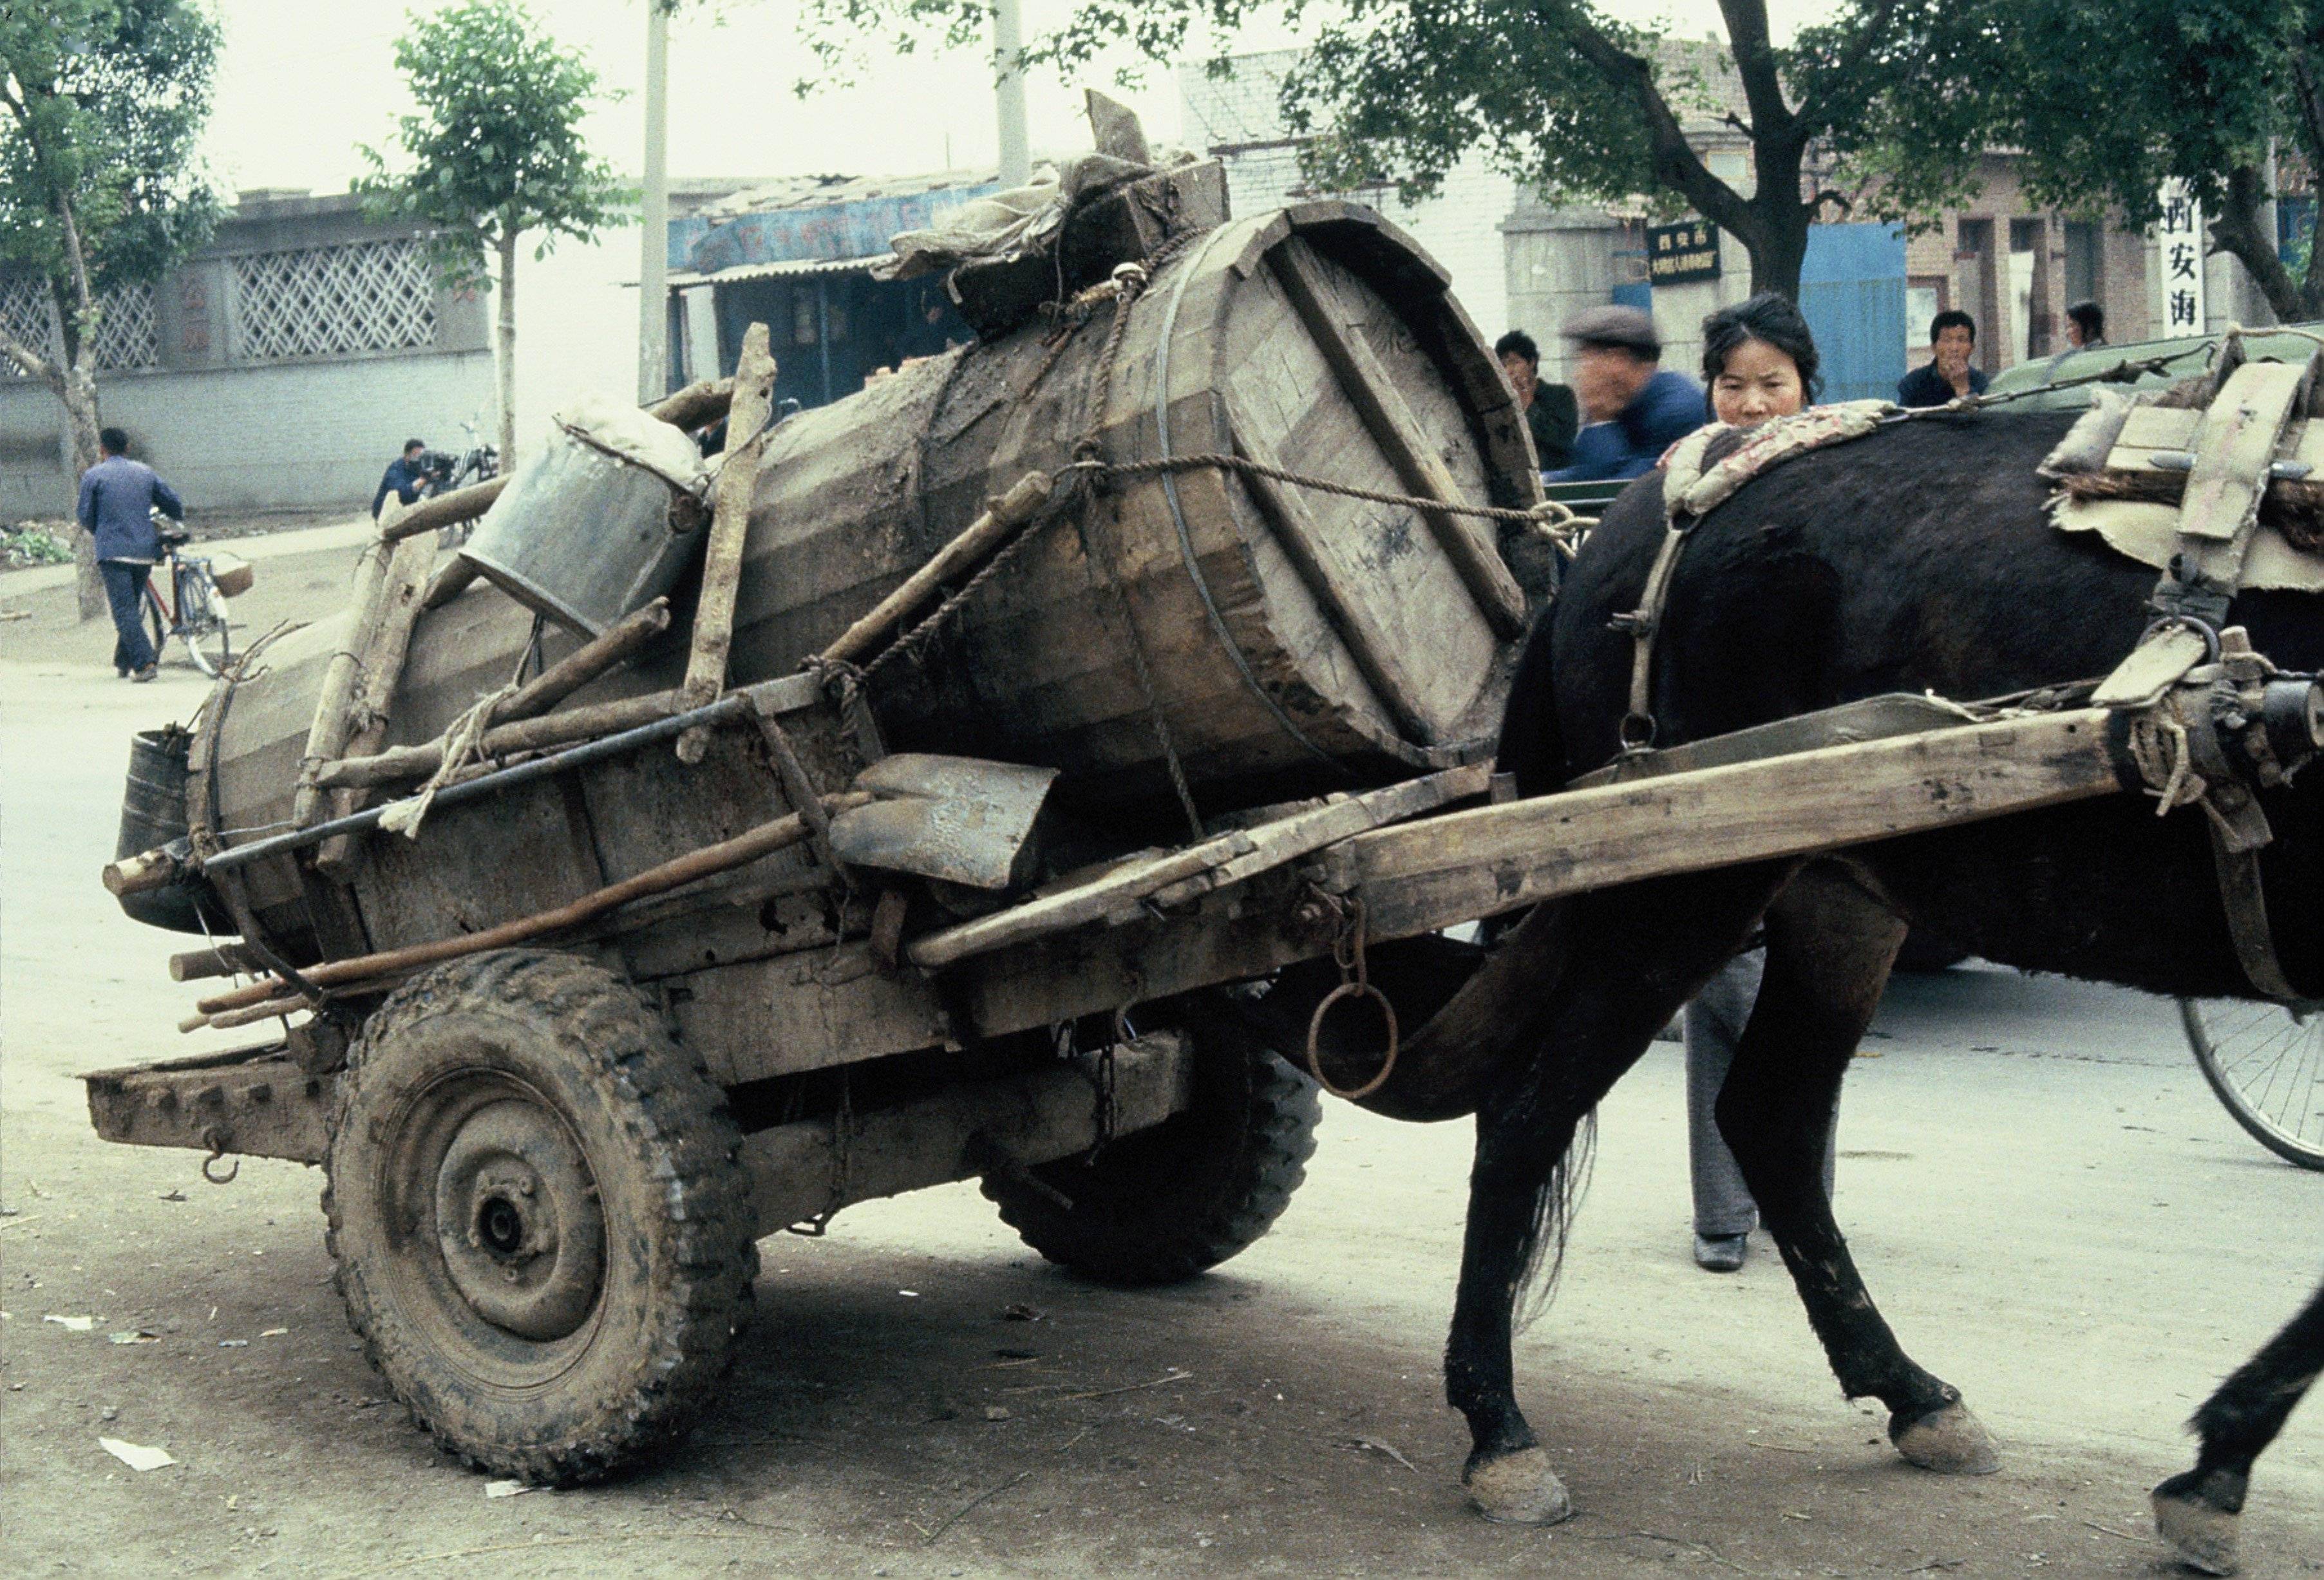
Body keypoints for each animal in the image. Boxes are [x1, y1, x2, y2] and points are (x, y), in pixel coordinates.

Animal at [1413, 411, 2324, 1580]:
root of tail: (1632, 515)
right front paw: (2216, 1468)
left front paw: (2217, 1465)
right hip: (1677, 879)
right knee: (1526, 1112)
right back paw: (1498, 1429)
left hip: (1834, 892)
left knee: (1768, 1115)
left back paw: (1911, 1392)